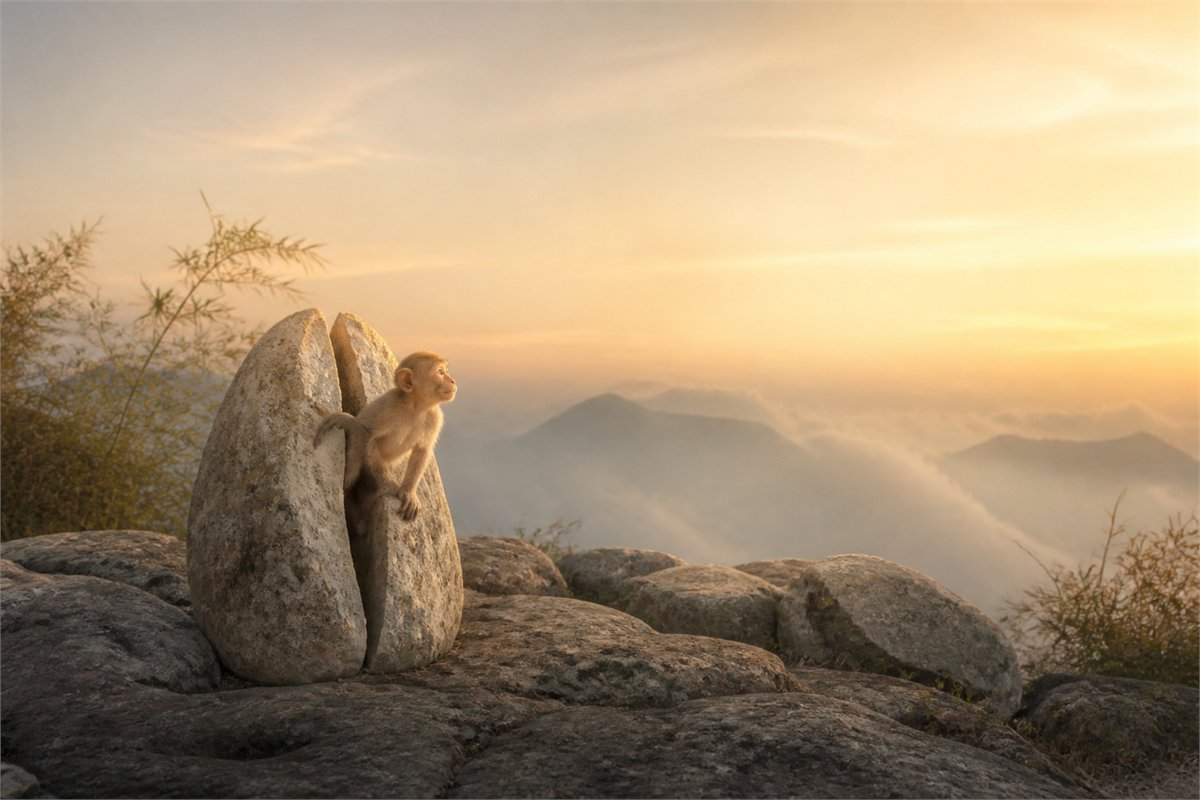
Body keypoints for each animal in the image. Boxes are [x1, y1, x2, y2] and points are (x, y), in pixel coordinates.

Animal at [314, 351, 456, 522]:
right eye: (440, 372)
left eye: (445, 371)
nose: (452, 380)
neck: (415, 407)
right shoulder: (387, 405)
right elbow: (367, 434)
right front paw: (391, 485)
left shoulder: (435, 418)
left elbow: (422, 450)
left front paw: (408, 493)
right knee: (357, 436)